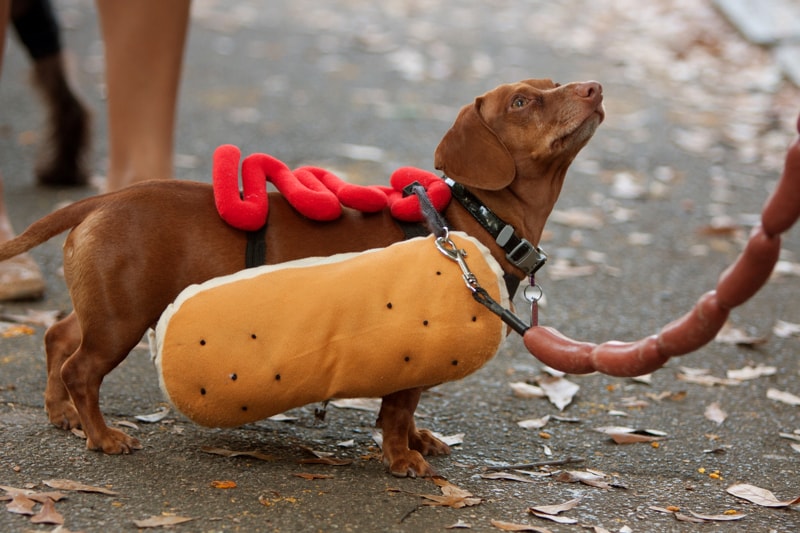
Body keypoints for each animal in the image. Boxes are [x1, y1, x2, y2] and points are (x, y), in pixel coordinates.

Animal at [0, 78, 600, 474]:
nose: (594, 87)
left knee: (57, 338)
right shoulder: (409, 353)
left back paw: (62, 415)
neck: (475, 216)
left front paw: (417, 441)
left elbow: (403, 410)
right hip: (122, 319)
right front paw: (401, 458)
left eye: (551, 84)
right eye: (522, 101)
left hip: (105, 309)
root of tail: (102, 200)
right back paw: (102, 436)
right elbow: (397, 410)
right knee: (81, 370)